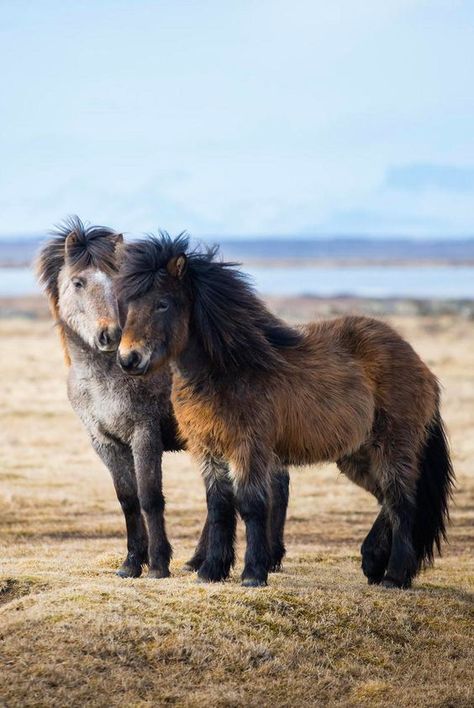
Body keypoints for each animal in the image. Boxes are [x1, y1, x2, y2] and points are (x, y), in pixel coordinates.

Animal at [36, 218, 181, 580]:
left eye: (116, 283)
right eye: (78, 282)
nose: (111, 334)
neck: (104, 376)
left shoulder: (145, 435)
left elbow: (150, 497)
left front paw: (159, 565)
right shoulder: (105, 442)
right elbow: (128, 499)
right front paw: (130, 564)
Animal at [116, 235, 454, 588]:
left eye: (163, 303)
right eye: (128, 304)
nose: (128, 359)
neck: (229, 369)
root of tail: (419, 363)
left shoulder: (248, 447)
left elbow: (251, 505)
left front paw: (253, 574)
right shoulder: (208, 449)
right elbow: (219, 506)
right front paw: (211, 571)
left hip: (393, 446)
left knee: (402, 503)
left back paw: (394, 575)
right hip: (357, 455)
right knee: (386, 499)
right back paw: (373, 561)